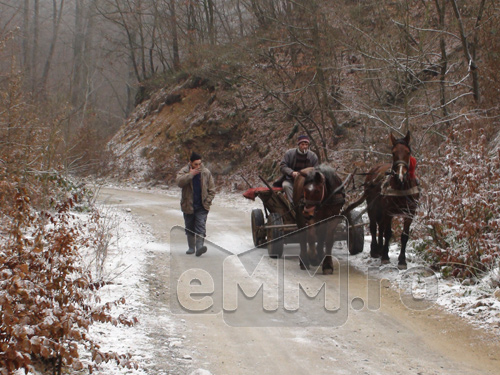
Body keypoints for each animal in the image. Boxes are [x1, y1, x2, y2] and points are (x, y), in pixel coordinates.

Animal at [346, 131, 420, 268]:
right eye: (393, 153)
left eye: (408, 152)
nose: (400, 175)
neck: (401, 187)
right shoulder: (389, 212)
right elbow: (388, 232)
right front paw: (385, 256)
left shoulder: (410, 213)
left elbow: (404, 236)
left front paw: (402, 260)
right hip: (372, 206)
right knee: (374, 227)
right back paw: (375, 250)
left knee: (380, 226)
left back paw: (380, 249)